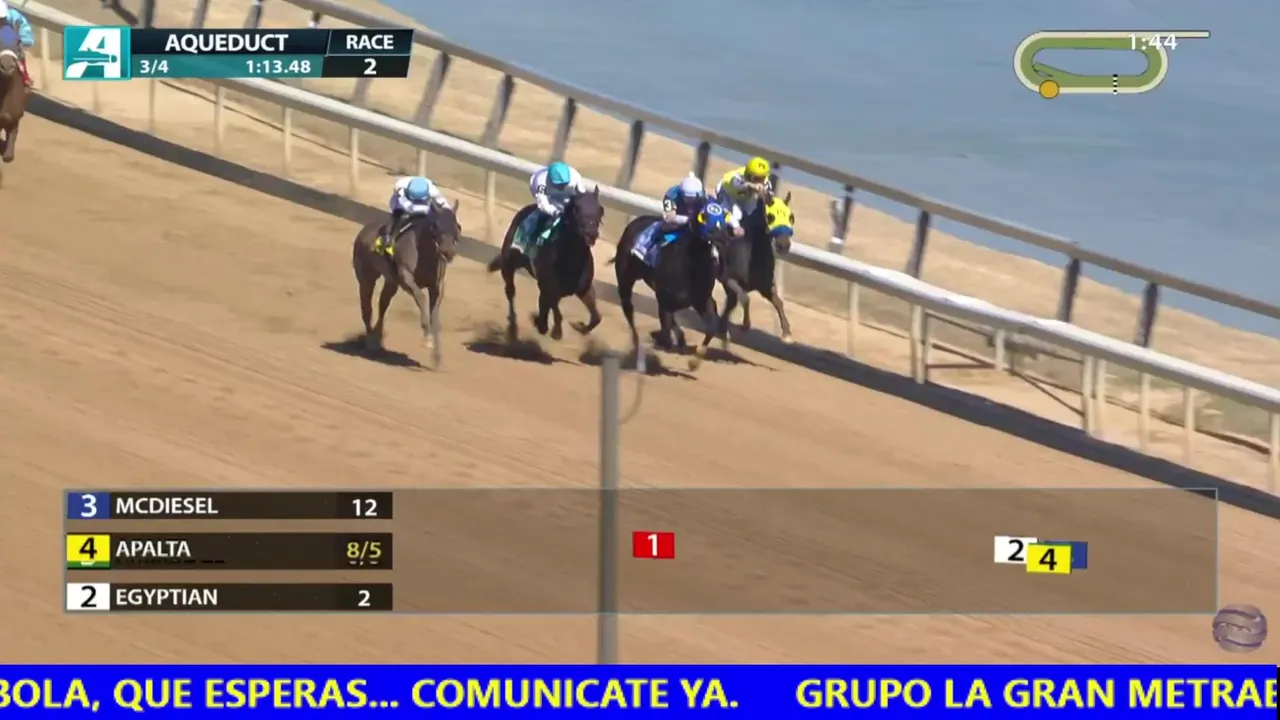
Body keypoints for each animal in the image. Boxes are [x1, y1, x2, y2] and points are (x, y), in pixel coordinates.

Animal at [351, 203, 462, 368]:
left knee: (383, 304)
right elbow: (421, 298)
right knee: (367, 308)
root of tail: (363, 231)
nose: (447, 252)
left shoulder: (436, 286)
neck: (424, 254)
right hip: (366, 277)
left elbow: (435, 318)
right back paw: (370, 342)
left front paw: (437, 358)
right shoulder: (406, 278)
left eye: (456, 226)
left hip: (391, 282)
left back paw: (377, 339)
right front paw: (427, 337)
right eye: (435, 225)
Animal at [485, 187, 604, 342]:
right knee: (510, 291)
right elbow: (555, 312)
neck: (570, 259)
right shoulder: (550, 286)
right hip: (509, 263)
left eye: (600, 210)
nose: (591, 233)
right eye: (576, 208)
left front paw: (579, 326)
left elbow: (596, 317)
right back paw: (513, 327)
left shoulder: (584, 288)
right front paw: (554, 331)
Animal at [610, 209, 727, 371]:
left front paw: (693, 362)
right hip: (625, 278)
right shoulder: (666, 299)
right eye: (704, 217)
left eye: (723, 218)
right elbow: (666, 334)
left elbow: (711, 328)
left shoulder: (701, 301)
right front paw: (658, 339)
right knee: (628, 308)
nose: (720, 238)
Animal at [716, 190, 796, 345]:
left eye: (791, 217)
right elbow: (744, 298)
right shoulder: (728, 279)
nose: (784, 245)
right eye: (771, 216)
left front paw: (787, 333)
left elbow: (778, 302)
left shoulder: (765, 286)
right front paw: (745, 325)